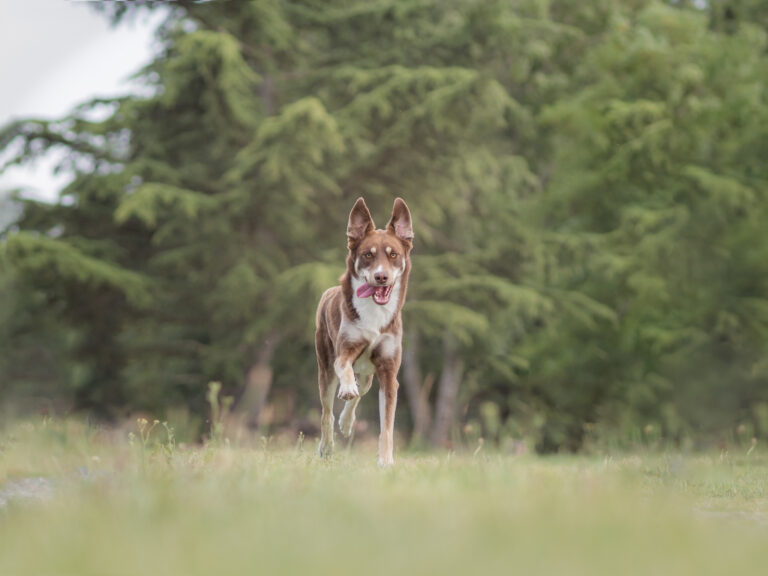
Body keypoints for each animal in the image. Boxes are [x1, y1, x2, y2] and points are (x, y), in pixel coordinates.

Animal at [316, 197, 414, 464]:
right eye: (368, 255)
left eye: (393, 255)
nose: (381, 277)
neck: (375, 315)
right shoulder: (345, 350)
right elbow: (344, 368)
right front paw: (347, 387)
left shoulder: (389, 371)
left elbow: (387, 426)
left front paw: (386, 461)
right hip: (325, 369)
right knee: (326, 413)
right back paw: (326, 447)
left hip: (370, 375)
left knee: (361, 392)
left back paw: (347, 422)